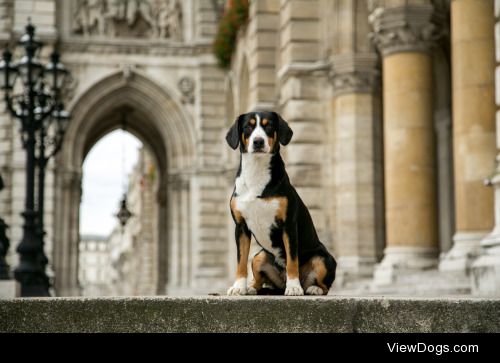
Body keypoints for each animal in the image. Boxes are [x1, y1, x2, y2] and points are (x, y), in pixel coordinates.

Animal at [226, 110, 336, 296]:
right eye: (248, 126)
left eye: (269, 125)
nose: (258, 141)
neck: (257, 172)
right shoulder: (241, 227)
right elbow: (241, 261)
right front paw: (239, 287)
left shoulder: (288, 225)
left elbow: (292, 260)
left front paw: (293, 287)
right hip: (259, 256)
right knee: (259, 279)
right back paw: (251, 288)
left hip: (323, 258)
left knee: (324, 285)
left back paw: (311, 288)